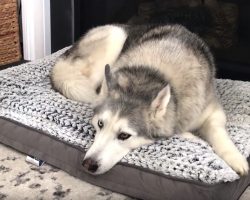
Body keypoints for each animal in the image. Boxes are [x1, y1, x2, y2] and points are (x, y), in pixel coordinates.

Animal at [50, 23, 248, 175]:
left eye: (124, 135)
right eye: (100, 124)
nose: (88, 164)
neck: (151, 76)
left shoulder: (212, 111)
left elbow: (217, 131)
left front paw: (236, 158)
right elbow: (173, 131)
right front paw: (194, 138)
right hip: (115, 36)